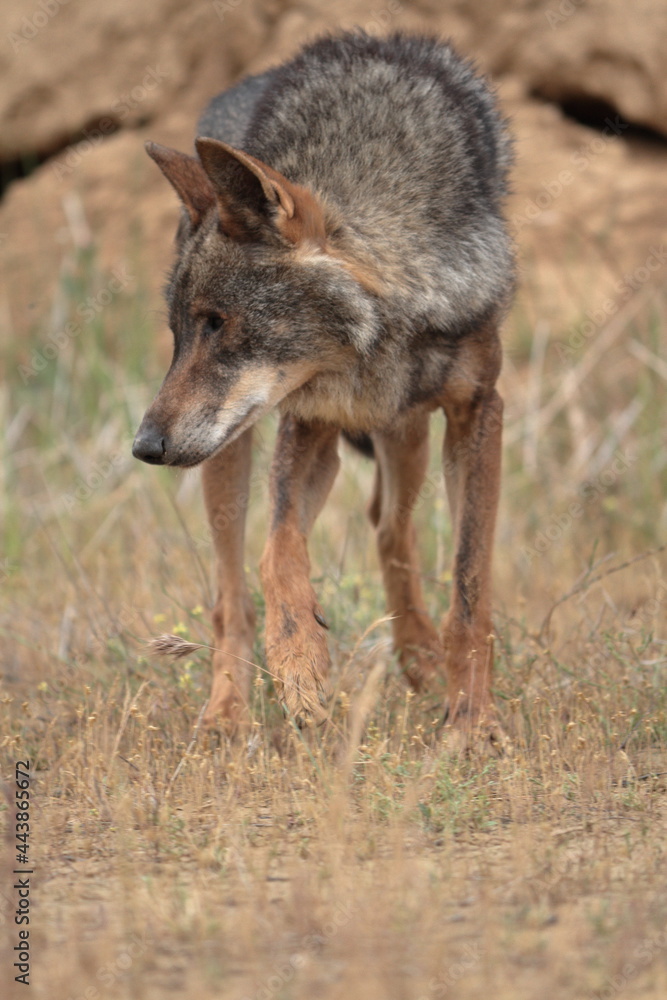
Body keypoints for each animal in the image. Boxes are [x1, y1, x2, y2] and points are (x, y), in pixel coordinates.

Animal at [132, 31, 515, 749]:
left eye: (217, 322)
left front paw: (471, 721)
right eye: (179, 332)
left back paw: (420, 660)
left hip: (404, 433)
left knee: (389, 526)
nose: (143, 446)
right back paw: (226, 715)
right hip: (232, 456)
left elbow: (471, 586)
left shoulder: (479, 412)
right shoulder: (309, 424)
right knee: (231, 596)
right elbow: (276, 554)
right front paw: (300, 667)